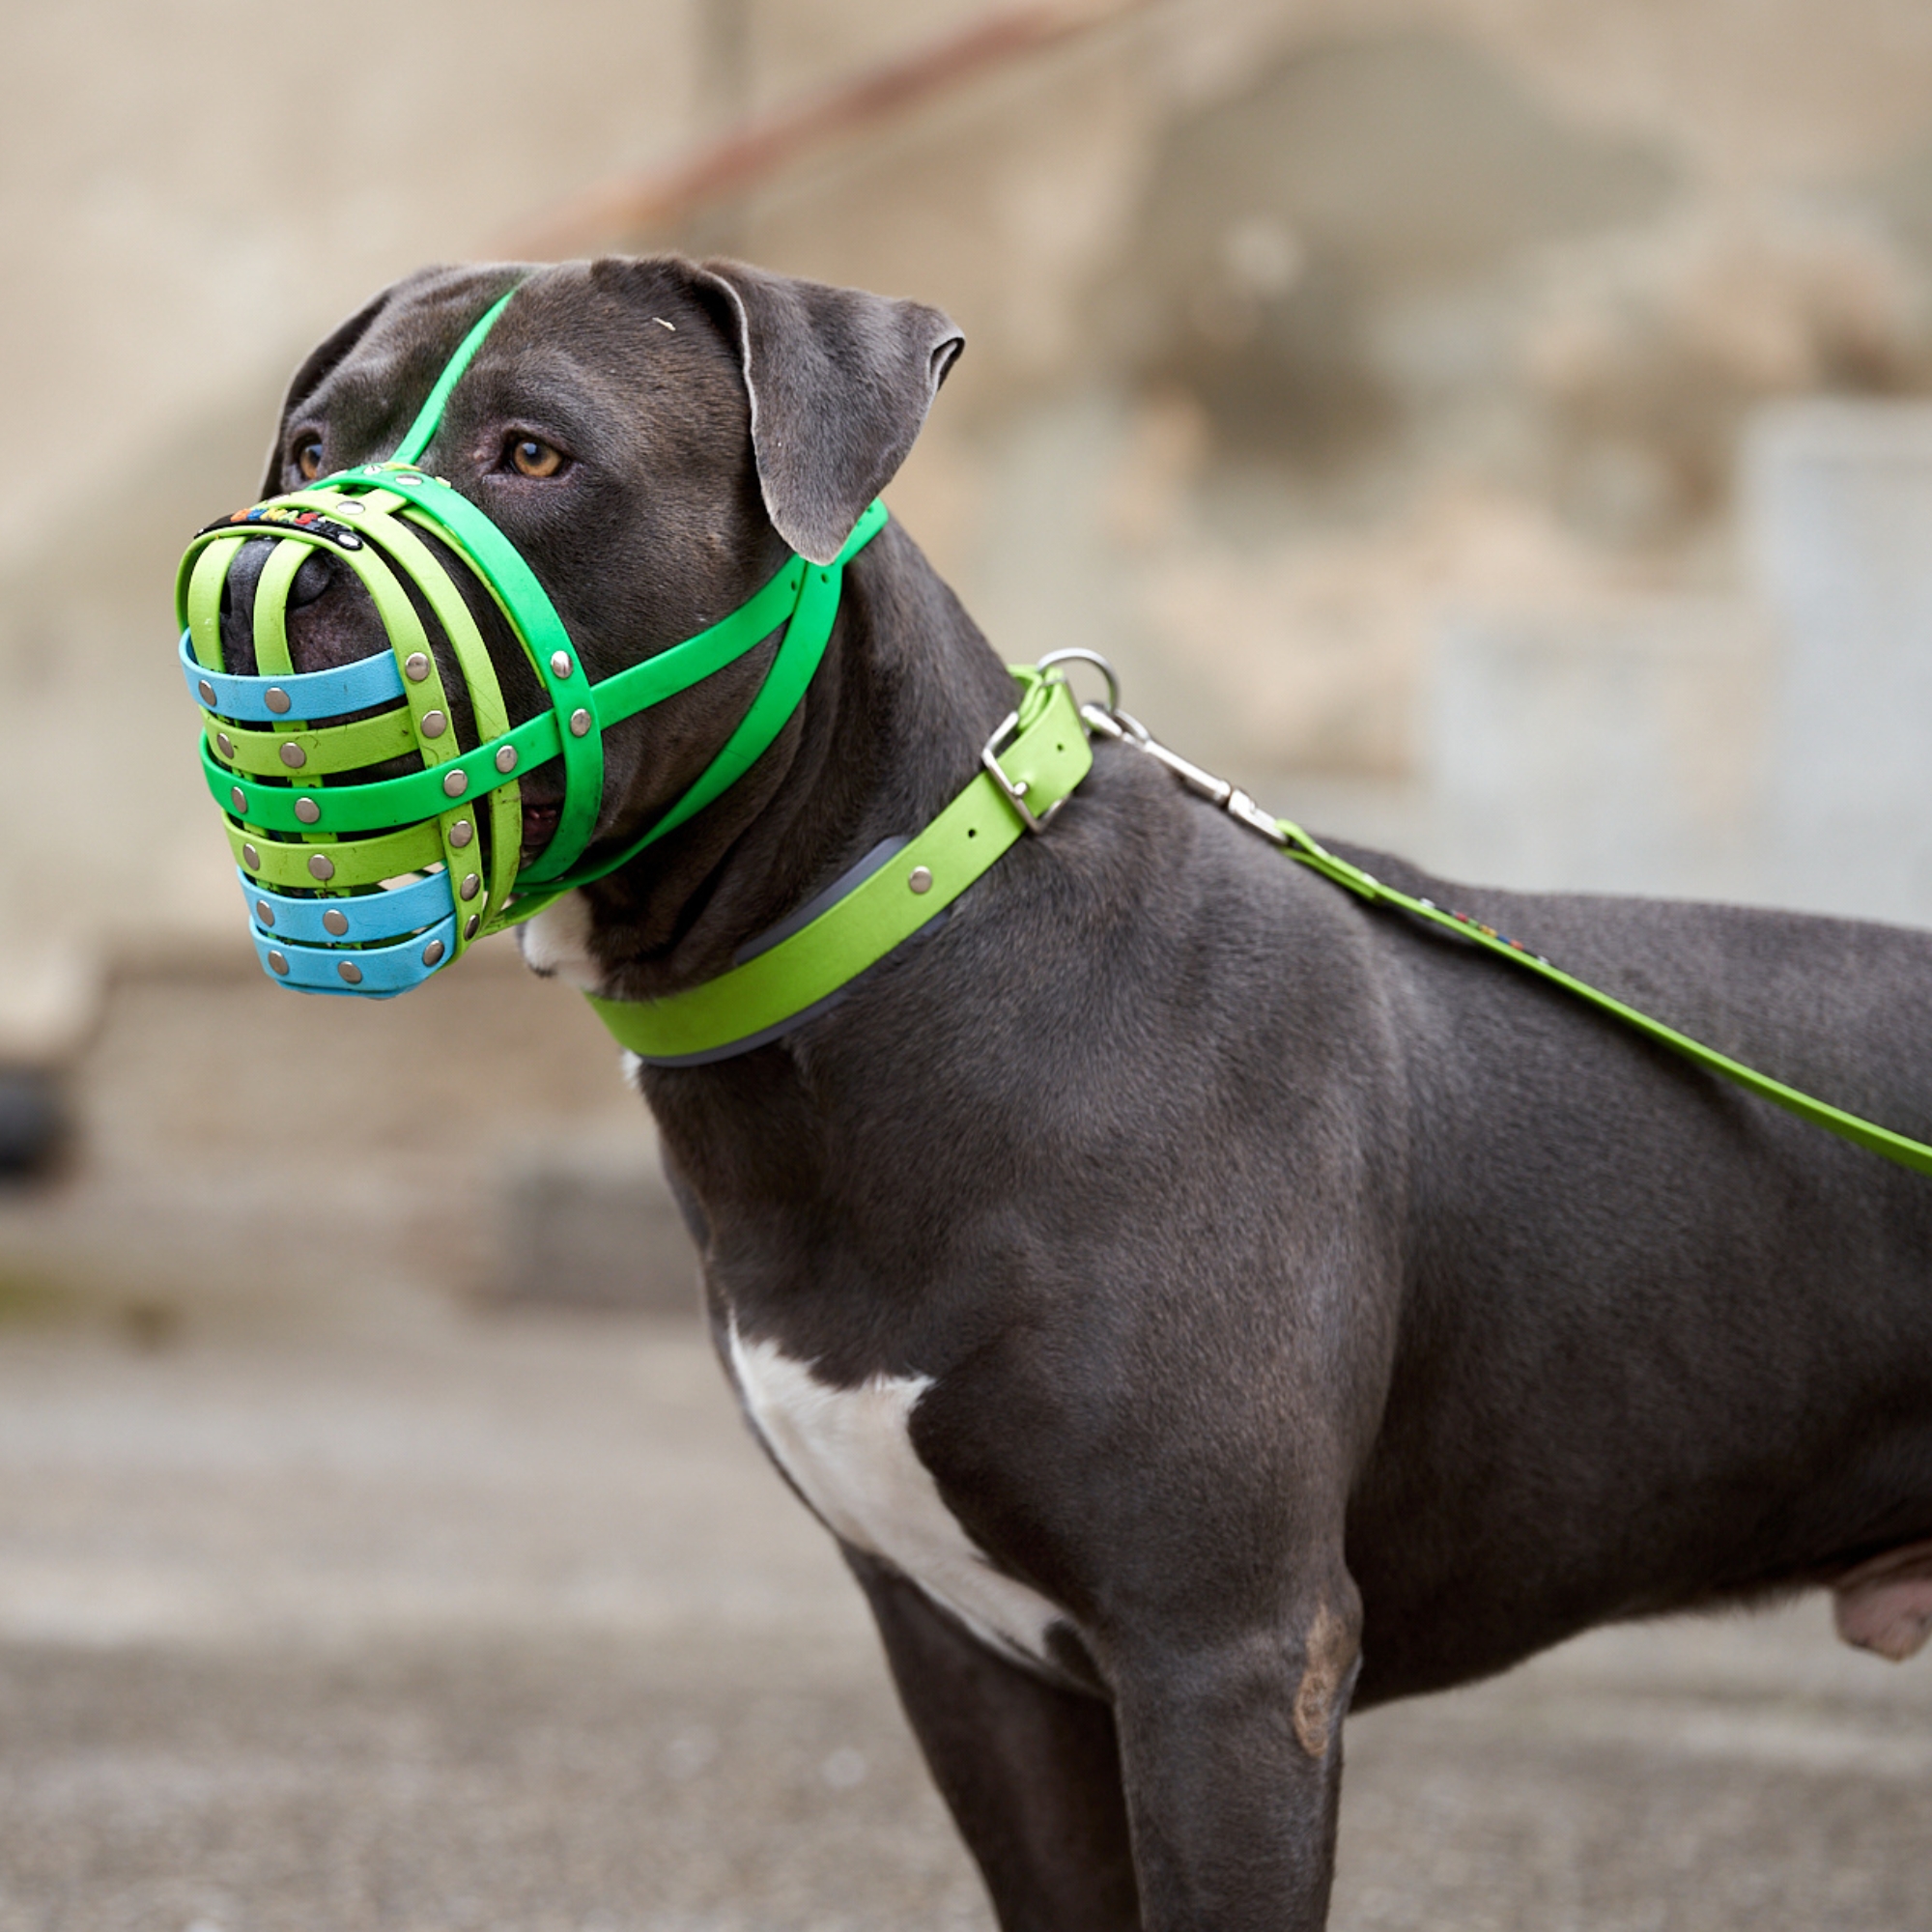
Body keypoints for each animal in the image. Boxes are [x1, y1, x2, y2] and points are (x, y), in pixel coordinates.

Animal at [226, 261, 1932, 1932]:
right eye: (309, 449)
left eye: (532, 454)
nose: (259, 586)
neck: (886, 942)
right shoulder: (972, 1661)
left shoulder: (1228, 1656)